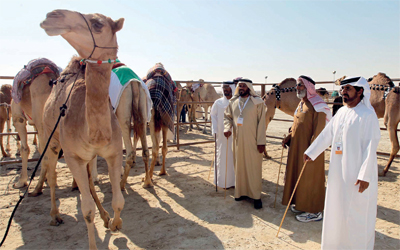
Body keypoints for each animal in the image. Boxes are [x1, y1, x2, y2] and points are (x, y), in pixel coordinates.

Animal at [39, 8, 124, 249]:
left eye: (97, 23)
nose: (52, 15)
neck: (94, 135)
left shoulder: (113, 152)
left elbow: (118, 200)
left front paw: (115, 223)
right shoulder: (72, 156)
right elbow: (86, 211)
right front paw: (94, 244)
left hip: (85, 155)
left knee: (90, 182)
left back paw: (104, 216)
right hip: (50, 139)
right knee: (52, 173)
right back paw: (55, 215)